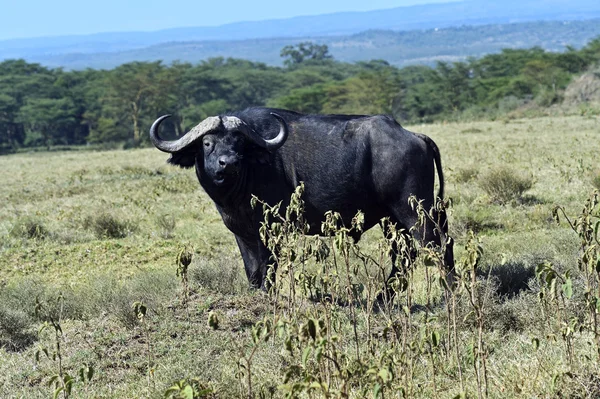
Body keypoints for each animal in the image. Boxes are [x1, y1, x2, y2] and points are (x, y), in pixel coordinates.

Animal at [150, 108, 454, 298]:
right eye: (208, 143)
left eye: (239, 143)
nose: (229, 163)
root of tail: (415, 136)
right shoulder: (241, 232)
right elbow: (251, 269)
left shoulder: (269, 228)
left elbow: (267, 267)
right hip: (393, 218)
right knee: (406, 254)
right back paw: (384, 297)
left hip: (414, 212)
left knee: (435, 246)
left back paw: (448, 292)